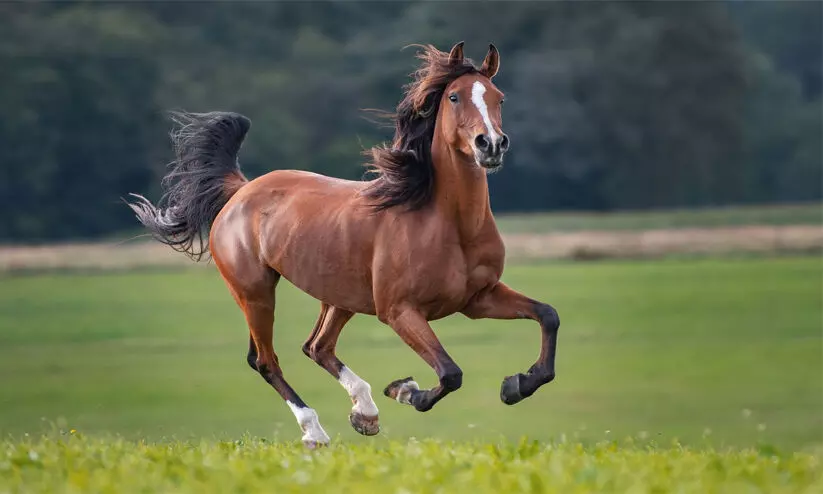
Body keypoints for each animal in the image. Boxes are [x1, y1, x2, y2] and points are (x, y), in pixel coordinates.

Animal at [128, 42, 560, 448]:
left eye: (499, 97)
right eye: (454, 96)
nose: (491, 145)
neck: (448, 224)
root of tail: (241, 191)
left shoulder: (478, 299)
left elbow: (548, 315)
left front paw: (517, 385)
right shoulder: (399, 311)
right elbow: (450, 373)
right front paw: (406, 391)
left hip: (339, 297)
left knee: (317, 347)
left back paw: (365, 413)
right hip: (255, 293)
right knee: (266, 360)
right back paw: (316, 431)